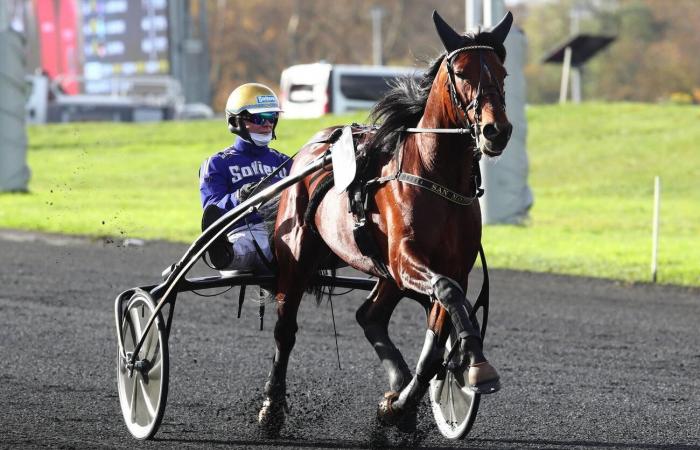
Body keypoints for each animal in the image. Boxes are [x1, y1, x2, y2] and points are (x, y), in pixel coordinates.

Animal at [260, 10, 512, 430]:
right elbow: (448, 294)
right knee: (285, 329)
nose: (497, 130)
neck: (435, 175)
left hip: (385, 273)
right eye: (461, 72)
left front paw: (402, 403)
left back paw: (397, 385)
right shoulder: (406, 257)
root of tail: (313, 146)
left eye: (503, 72)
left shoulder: (450, 265)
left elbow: (440, 329)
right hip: (298, 256)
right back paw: (272, 406)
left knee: (369, 315)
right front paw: (475, 363)